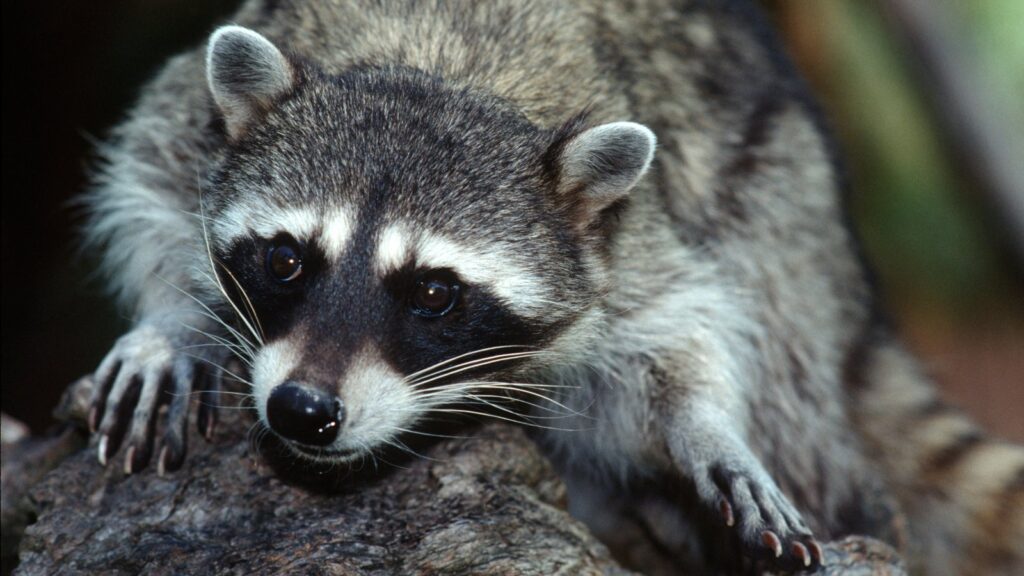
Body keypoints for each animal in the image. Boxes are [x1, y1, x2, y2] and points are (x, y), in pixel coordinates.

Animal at [80, 0, 1024, 574]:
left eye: (433, 294)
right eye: (286, 261)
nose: (303, 411)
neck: (438, 66)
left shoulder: (622, 237)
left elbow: (678, 327)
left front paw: (706, 425)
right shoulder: (199, 119)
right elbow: (150, 180)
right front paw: (172, 322)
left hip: (785, 214)